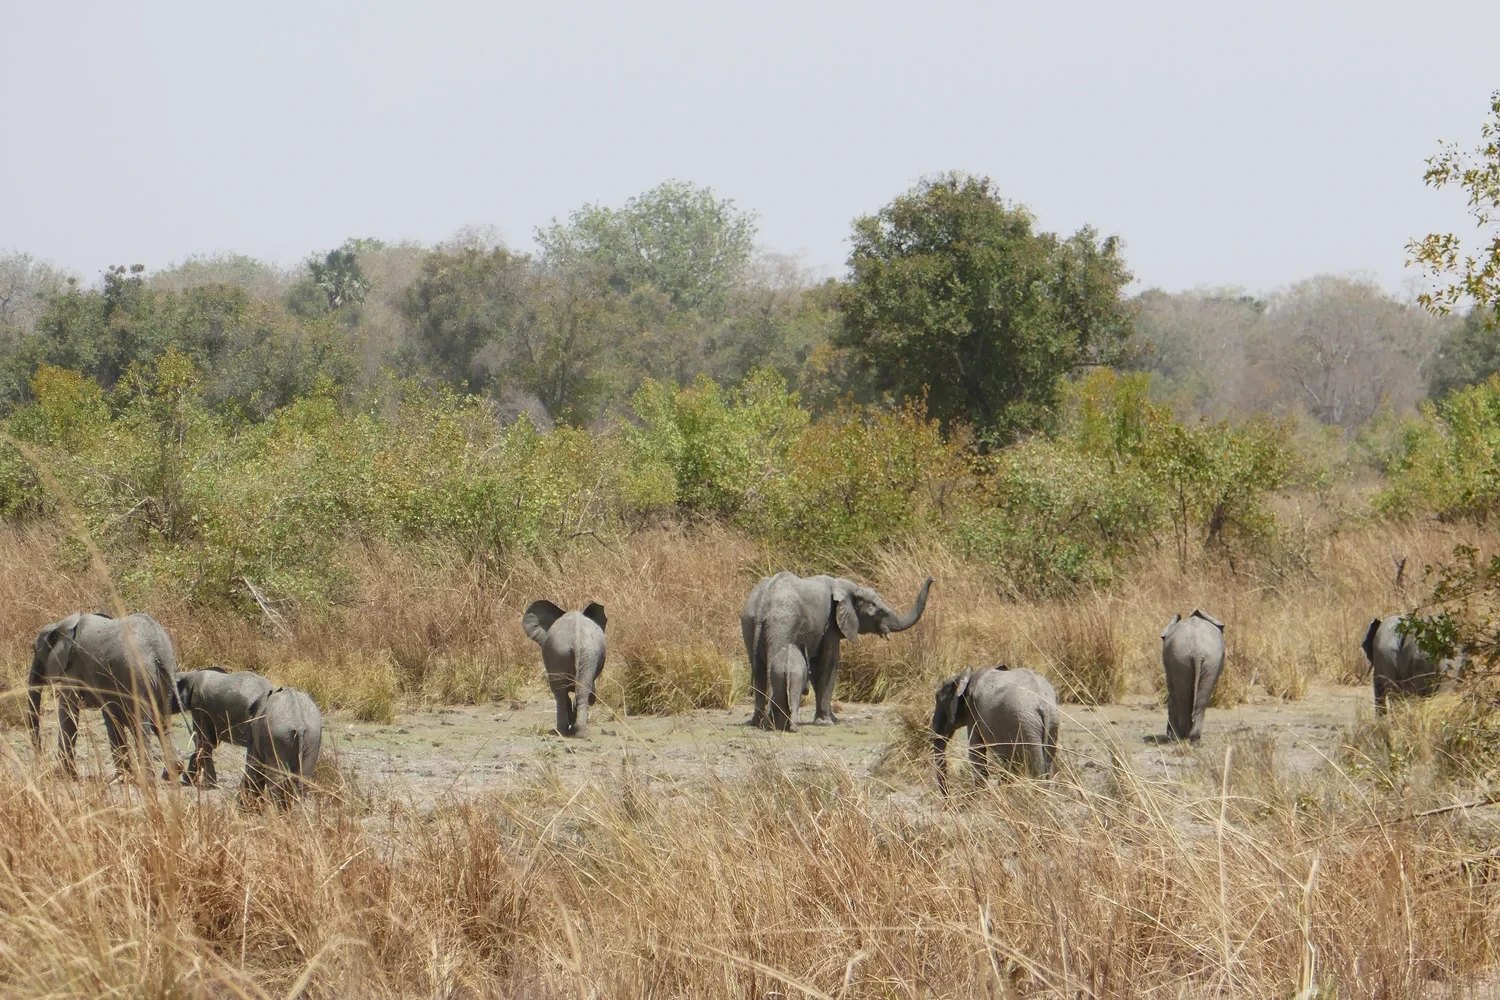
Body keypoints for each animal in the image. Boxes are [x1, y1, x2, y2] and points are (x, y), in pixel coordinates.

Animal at [26, 611, 182, 779]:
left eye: (34, 650)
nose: (40, 761)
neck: (62, 625)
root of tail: (158, 652)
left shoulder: (73, 668)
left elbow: (68, 711)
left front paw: (64, 775)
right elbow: (110, 717)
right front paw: (123, 775)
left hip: (137, 677)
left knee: (141, 726)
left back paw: (147, 778)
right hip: (164, 681)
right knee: (162, 723)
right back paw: (172, 772)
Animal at [522, 600, 607, 737]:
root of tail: (576, 639)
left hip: (563, 652)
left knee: (564, 692)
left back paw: (565, 732)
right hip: (575, 652)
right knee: (576, 691)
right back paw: (577, 733)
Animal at [741, 573, 933, 730]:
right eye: (880, 611)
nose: (932, 578)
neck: (849, 587)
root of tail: (763, 602)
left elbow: (816, 667)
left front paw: (830, 719)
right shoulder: (830, 625)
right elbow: (828, 662)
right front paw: (828, 722)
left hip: (748, 622)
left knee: (758, 668)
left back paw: (758, 722)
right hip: (782, 623)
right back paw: (773, 724)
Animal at [930, 665, 1059, 793]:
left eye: (938, 699)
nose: (948, 796)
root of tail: (1043, 705)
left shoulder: (973, 712)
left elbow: (976, 751)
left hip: (1025, 725)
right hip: (1049, 724)